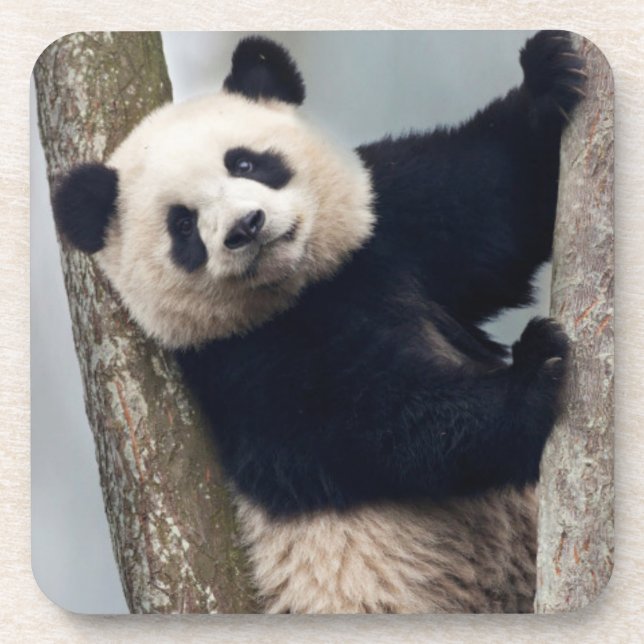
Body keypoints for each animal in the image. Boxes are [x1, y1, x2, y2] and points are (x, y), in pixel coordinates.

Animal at [52, 31, 584, 613]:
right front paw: (535, 373)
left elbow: (494, 199)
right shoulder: (243, 365)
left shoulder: (390, 226)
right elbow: (382, 426)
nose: (246, 227)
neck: (302, 289)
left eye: (245, 163)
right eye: (183, 224)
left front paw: (552, 73)